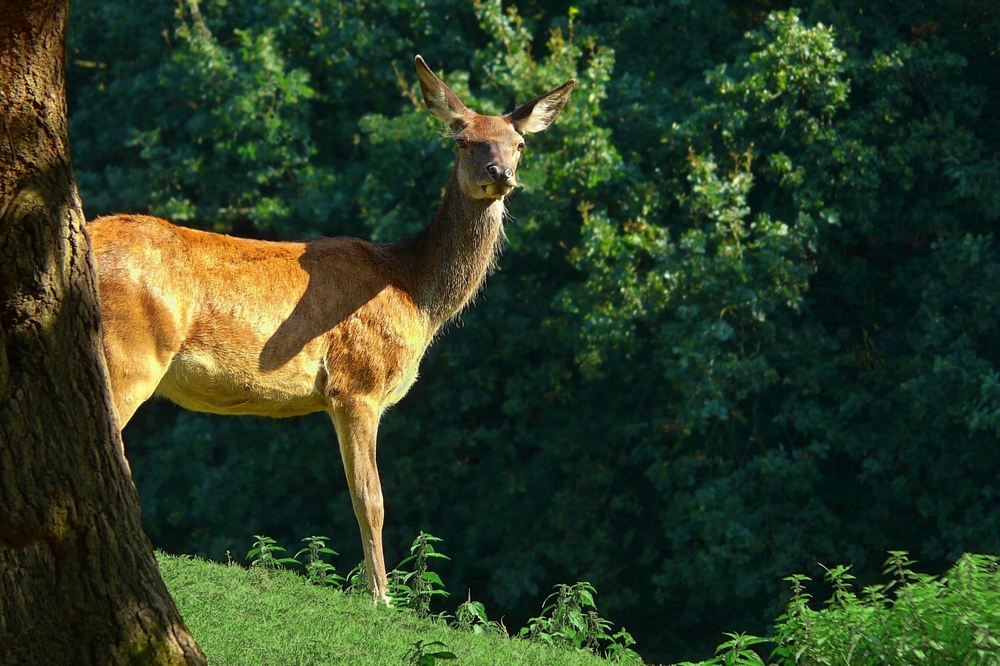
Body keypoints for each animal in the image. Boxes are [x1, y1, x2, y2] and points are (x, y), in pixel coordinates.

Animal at [90, 54, 576, 600]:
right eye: (462, 140)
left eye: (519, 143)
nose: (500, 173)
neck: (415, 293)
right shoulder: (357, 383)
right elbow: (371, 498)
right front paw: (381, 596)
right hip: (130, 352)